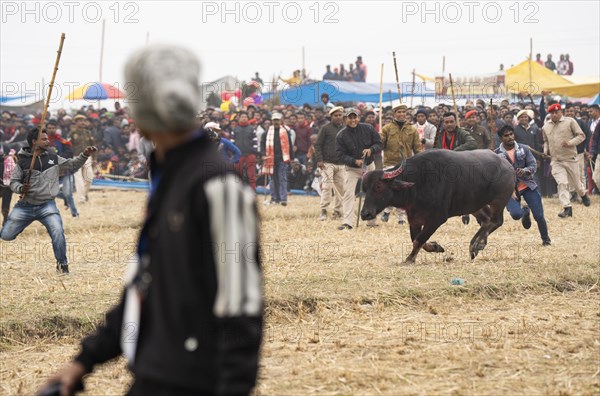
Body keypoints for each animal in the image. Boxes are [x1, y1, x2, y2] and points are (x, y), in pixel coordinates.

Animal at [360, 148, 516, 262]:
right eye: (364, 188)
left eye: (378, 186)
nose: (365, 214)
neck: (418, 182)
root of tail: (508, 166)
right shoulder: (414, 219)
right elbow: (416, 239)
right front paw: (436, 247)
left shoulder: (437, 219)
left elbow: (419, 239)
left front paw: (410, 258)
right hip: (474, 205)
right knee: (486, 220)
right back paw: (473, 245)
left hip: (499, 201)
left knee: (496, 221)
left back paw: (478, 244)